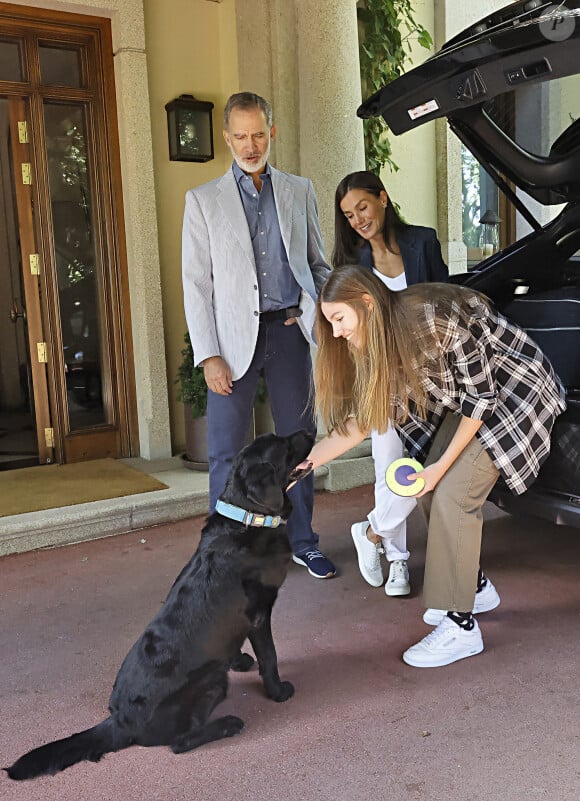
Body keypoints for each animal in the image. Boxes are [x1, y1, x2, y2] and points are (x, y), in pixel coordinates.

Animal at [5, 428, 312, 780]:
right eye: (285, 446)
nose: (310, 430)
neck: (248, 518)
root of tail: (120, 721)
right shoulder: (260, 614)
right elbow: (270, 657)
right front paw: (278, 691)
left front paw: (238, 660)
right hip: (212, 681)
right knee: (180, 742)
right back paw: (227, 724)